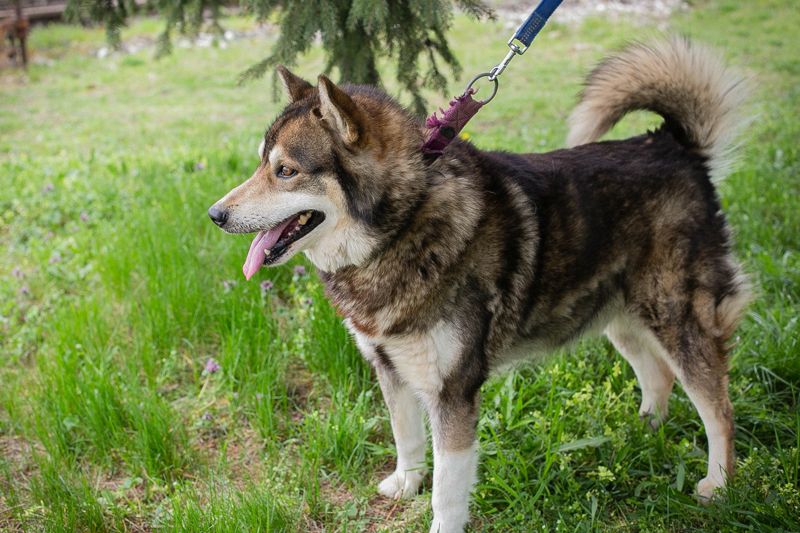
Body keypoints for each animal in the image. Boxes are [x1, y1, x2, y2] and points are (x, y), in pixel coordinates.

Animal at [208, 37, 751, 532]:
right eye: (260, 164)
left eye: (286, 170)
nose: (216, 215)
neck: (403, 228)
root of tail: (671, 145)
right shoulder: (390, 367)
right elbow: (406, 436)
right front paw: (407, 481)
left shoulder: (452, 392)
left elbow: (448, 490)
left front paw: (438, 519)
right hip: (619, 316)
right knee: (657, 375)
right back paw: (645, 430)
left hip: (676, 318)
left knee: (718, 408)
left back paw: (721, 485)